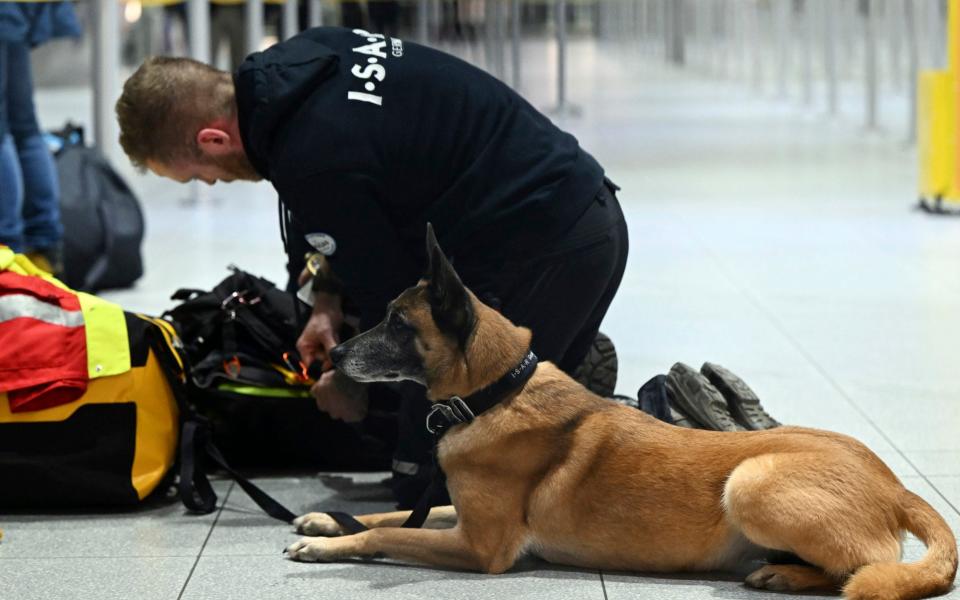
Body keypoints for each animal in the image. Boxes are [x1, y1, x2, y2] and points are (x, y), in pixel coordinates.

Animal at [284, 225, 952, 600]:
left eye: (397, 323)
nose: (331, 355)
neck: (496, 391)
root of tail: (895, 486)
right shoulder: (462, 514)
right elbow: (395, 512)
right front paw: (325, 521)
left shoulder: (481, 547)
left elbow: (389, 532)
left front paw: (324, 547)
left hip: (752, 483)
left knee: (873, 569)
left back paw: (788, 577)